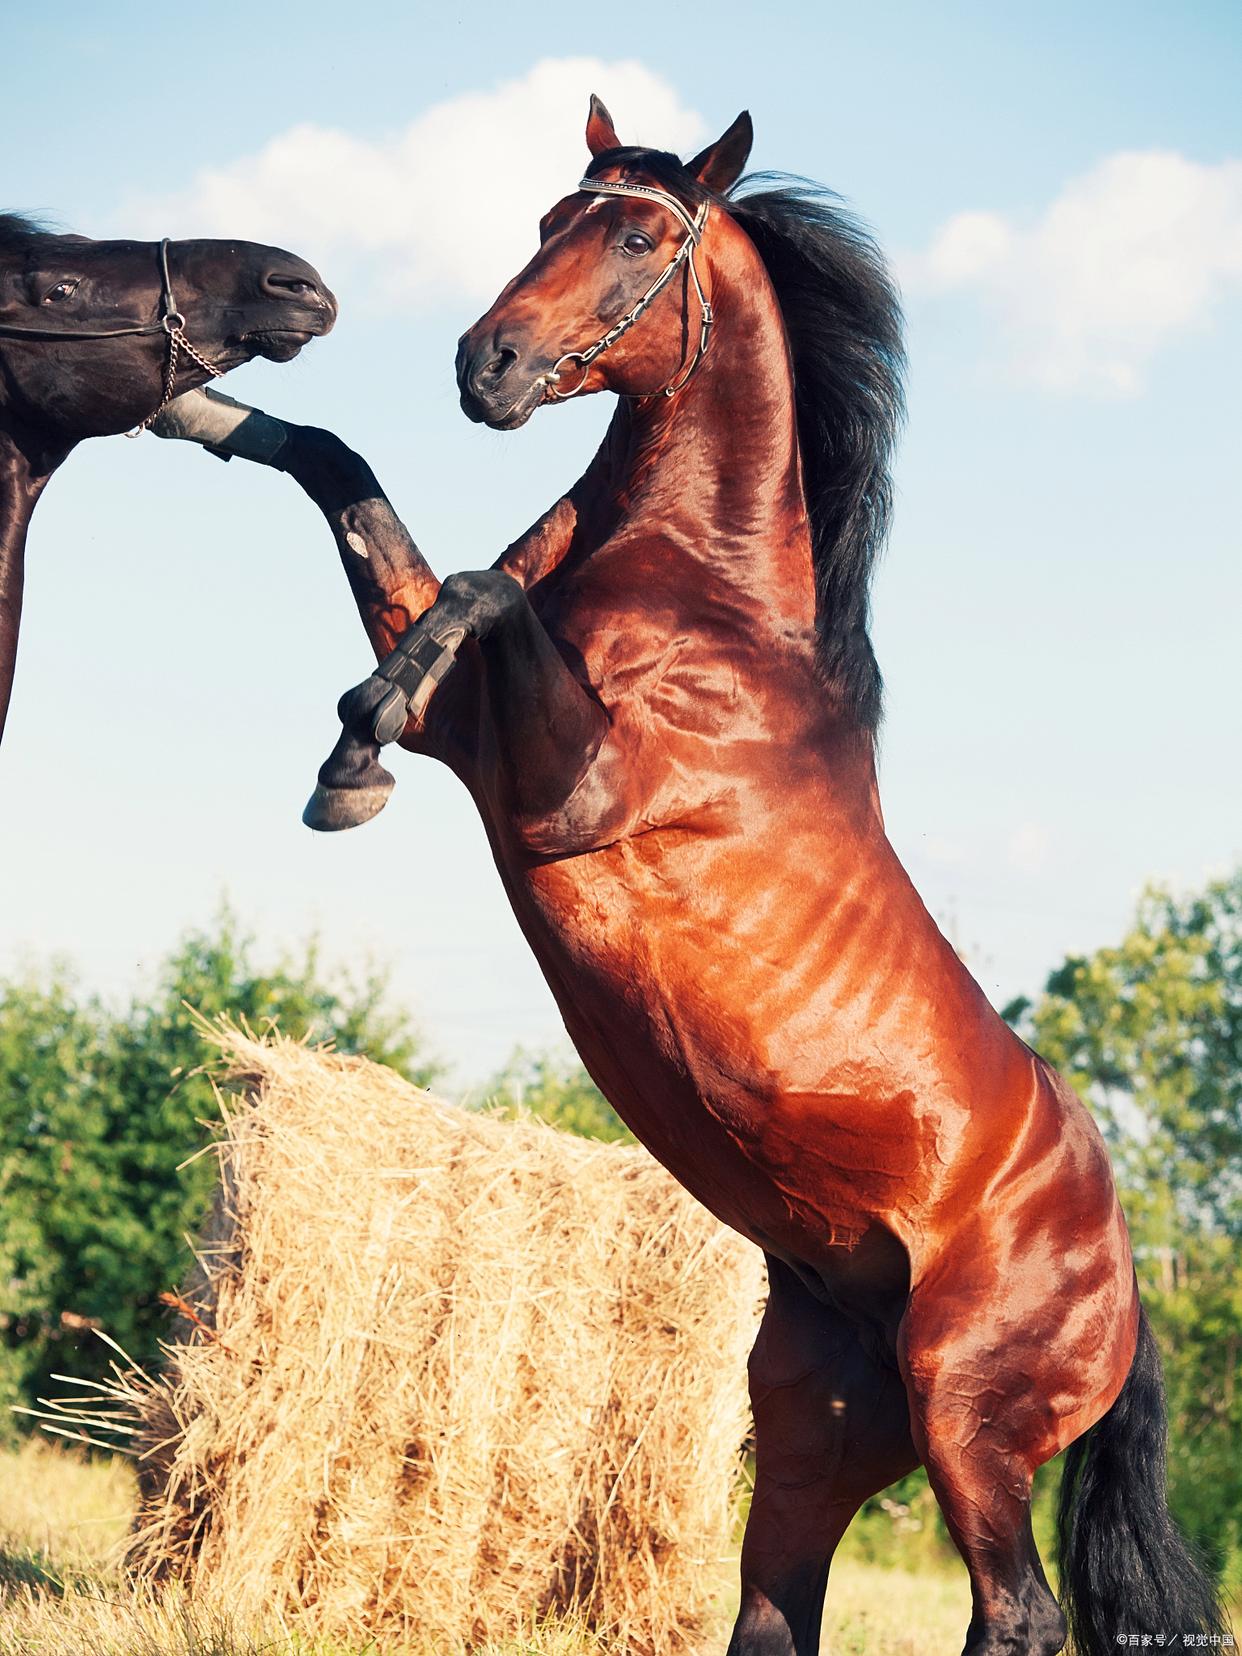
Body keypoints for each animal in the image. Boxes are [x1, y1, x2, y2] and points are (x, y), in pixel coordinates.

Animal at [169, 100, 1225, 1656]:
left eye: (634, 236)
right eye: (549, 217)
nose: (483, 365)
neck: (704, 597)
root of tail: (1128, 1286)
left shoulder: (563, 790)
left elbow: (476, 590)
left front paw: (347, 756)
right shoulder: (474, 734)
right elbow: (352, 482)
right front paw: (203, 411)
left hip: (970, 1415)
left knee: (1021, 1616)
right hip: (817, 1426)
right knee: (787, 1614)